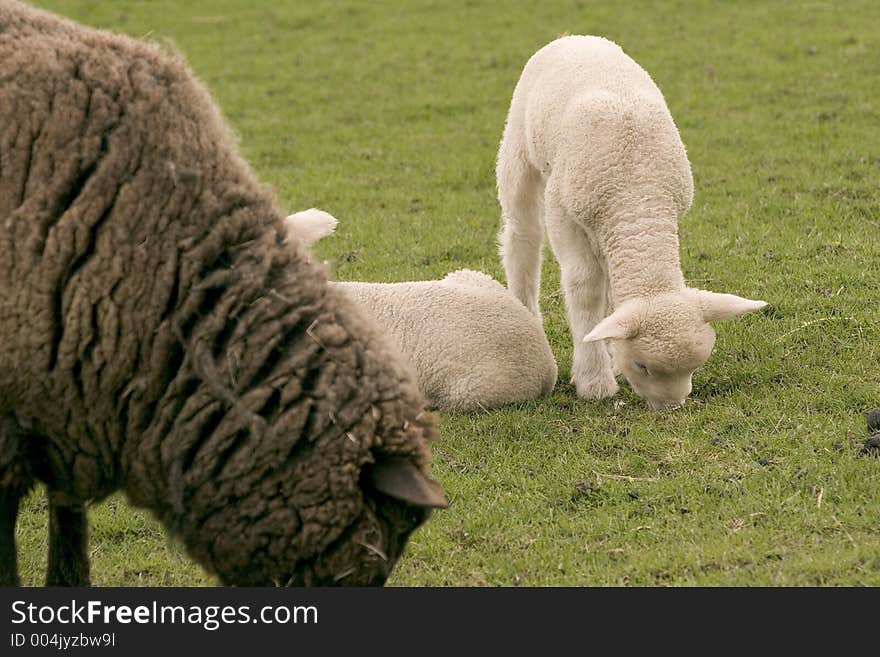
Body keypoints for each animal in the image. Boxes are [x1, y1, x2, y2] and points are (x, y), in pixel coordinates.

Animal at [498, 36, 768, 410]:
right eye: (643, 365)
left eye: (695, 366)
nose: (671, 408)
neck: (637, 193)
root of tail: (575, 37)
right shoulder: (563, 213)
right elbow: (585, 285)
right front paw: (594, 379)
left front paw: (611, 358)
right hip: (519, 148)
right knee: (522, 235)